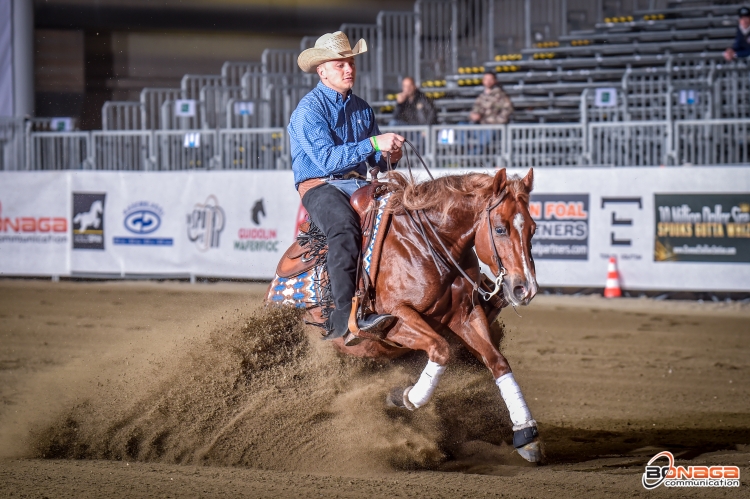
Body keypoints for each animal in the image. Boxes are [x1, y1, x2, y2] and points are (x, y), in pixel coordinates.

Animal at [274, 169, 540, 464]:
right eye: (500, 228)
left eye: (533, 228)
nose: (525, 288)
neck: (428, 244)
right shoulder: (397, 321)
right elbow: (440, 349)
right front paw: (404, 397)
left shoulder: (467, 315)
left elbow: (497, 362)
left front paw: (526, 434)